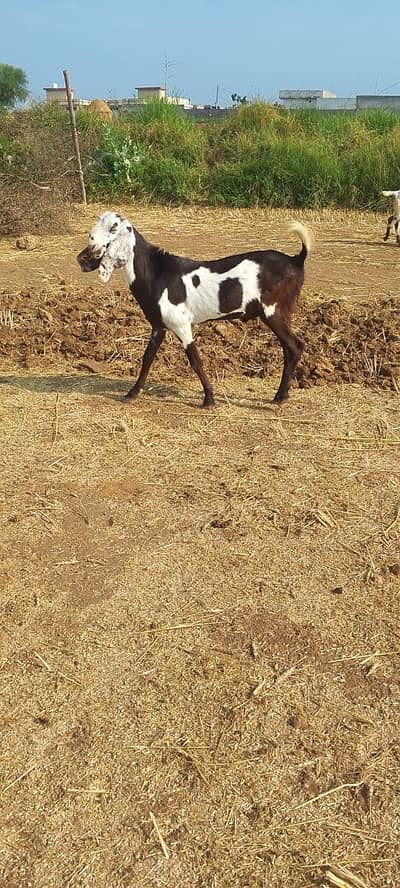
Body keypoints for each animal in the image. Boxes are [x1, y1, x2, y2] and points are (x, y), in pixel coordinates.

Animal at [77, 211, 312, 407]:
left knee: (294, 347)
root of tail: (295, 260)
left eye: (113, 228)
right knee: (289, 348)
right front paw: (132, 393)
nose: (82, 258)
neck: (156, 273)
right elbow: (147, 358)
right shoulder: (158, 326)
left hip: (274, 311)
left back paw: (279, 397)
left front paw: (209, 399)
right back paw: (282, 394)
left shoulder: (181, 324)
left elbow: (195, 359)